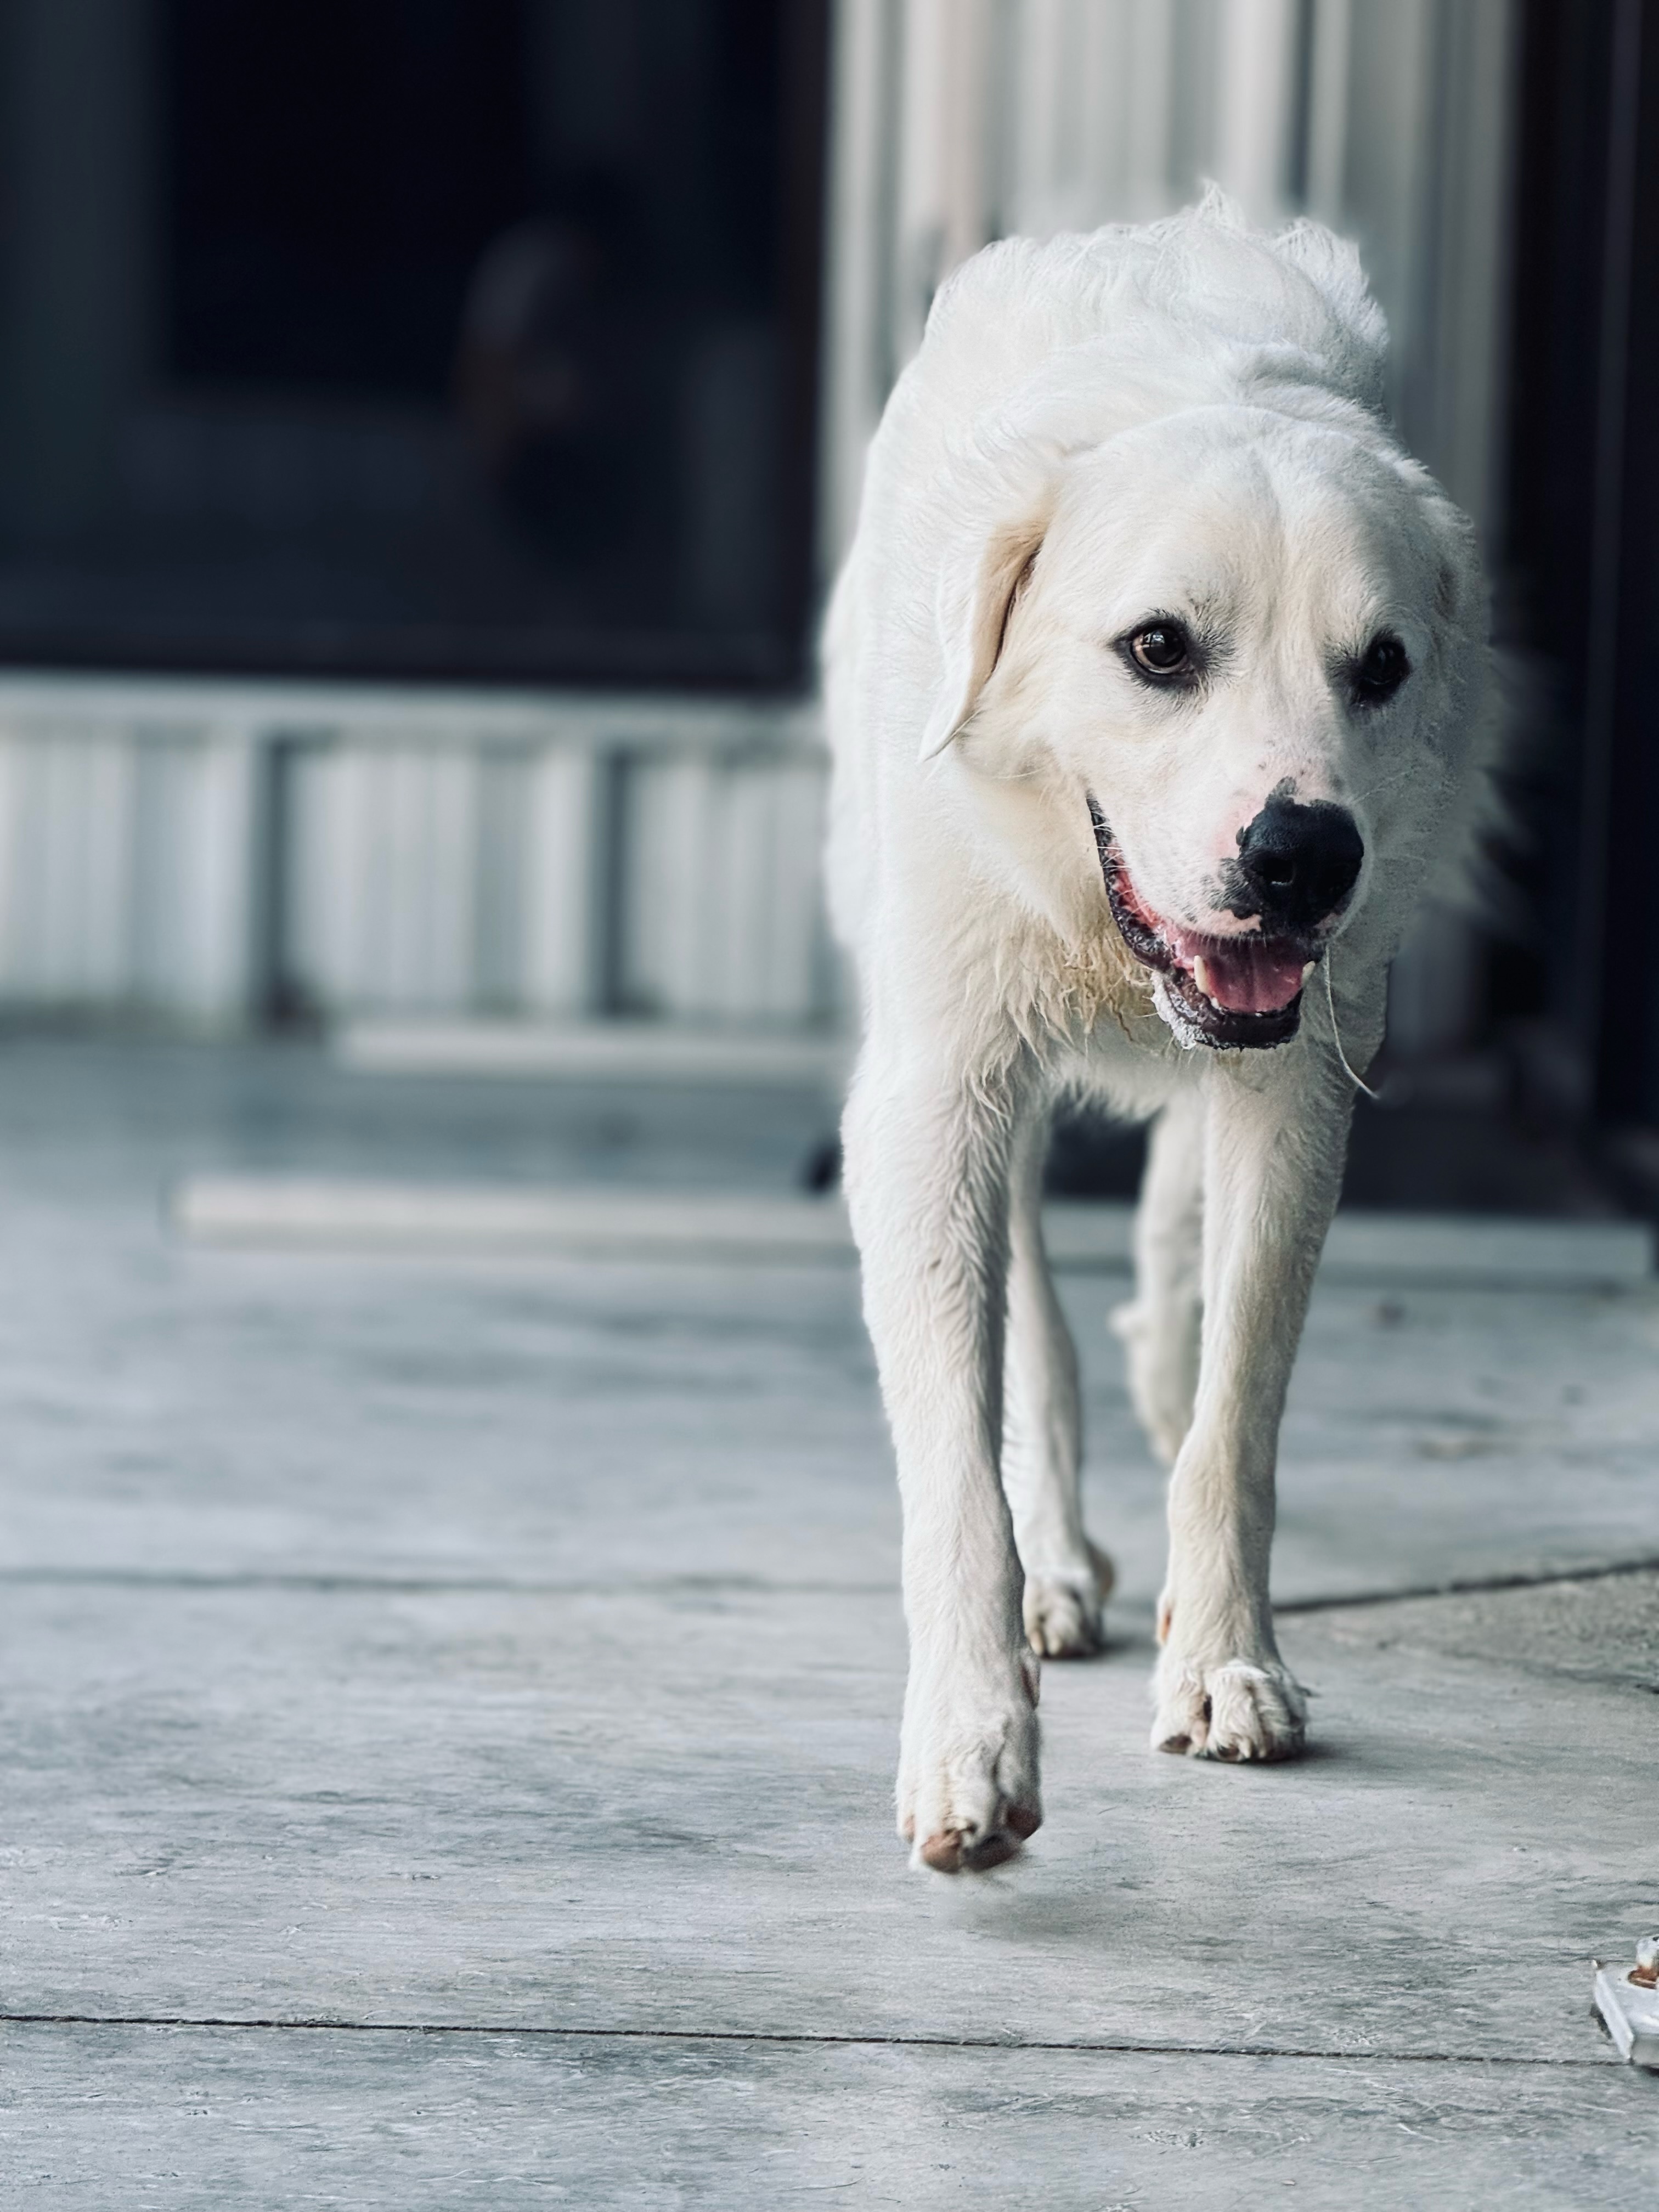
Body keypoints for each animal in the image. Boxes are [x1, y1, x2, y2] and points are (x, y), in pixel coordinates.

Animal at [827, 199, 1495, 1876]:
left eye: (1380, 668)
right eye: (1158, 651)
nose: (1305, 858)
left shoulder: (1303, 1092)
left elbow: (1234, 1409)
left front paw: (1228, 1661)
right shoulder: (935, 1093)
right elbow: (959, 1457)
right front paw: (971, 1738)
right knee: (1038, 1337)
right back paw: (1061, 1559)